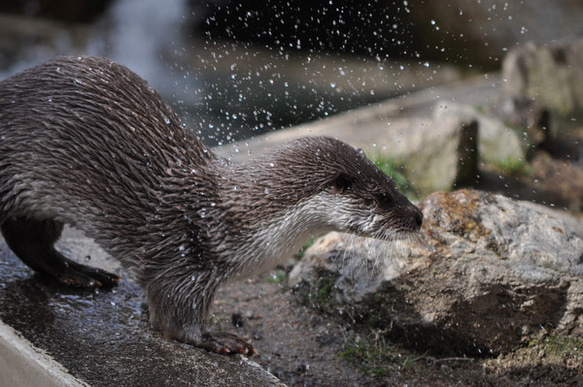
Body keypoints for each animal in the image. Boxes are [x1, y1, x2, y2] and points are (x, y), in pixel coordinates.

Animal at [0, 56, 422, 356]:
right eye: (384, 198)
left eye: (394, 185)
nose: (418, 216)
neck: (225, 216)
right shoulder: (182, 258)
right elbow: (173, 320)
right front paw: (219, 339)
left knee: (29, 239)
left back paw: (78, 273)